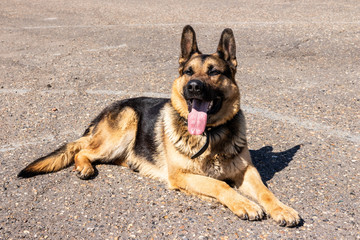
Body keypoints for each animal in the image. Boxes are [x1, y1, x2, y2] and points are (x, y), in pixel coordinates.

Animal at [19, 25, 300, 227]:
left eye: (214, 72)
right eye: (188, 71)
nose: (193, 87)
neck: (210, 134)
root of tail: (104, 112)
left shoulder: (247, 171)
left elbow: (265, 192)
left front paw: (282, 209)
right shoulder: (182, 175)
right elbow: (220, 185)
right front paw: (245, 204)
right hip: (125, 126)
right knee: (82, 151)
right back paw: (85, 167)